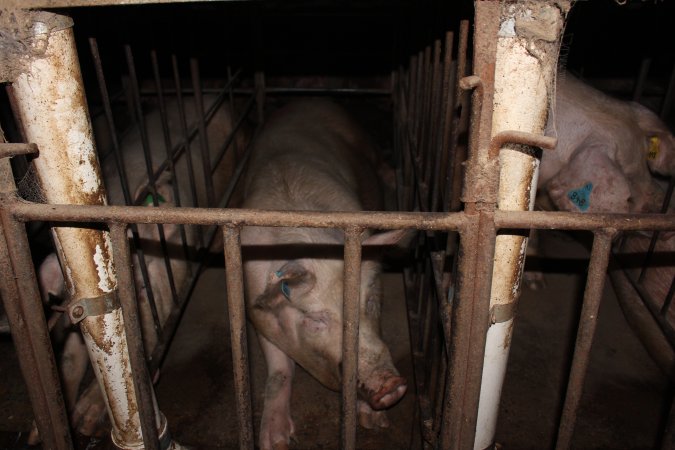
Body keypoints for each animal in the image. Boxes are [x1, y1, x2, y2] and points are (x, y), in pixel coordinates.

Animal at [242, 99, 406, 450]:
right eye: (316, 319)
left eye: (369, 301)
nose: (390, 384)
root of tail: (306, 99)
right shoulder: (259, 314)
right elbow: (278, 370)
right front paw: (275, 441)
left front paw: (374, 423)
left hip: (361, 138)